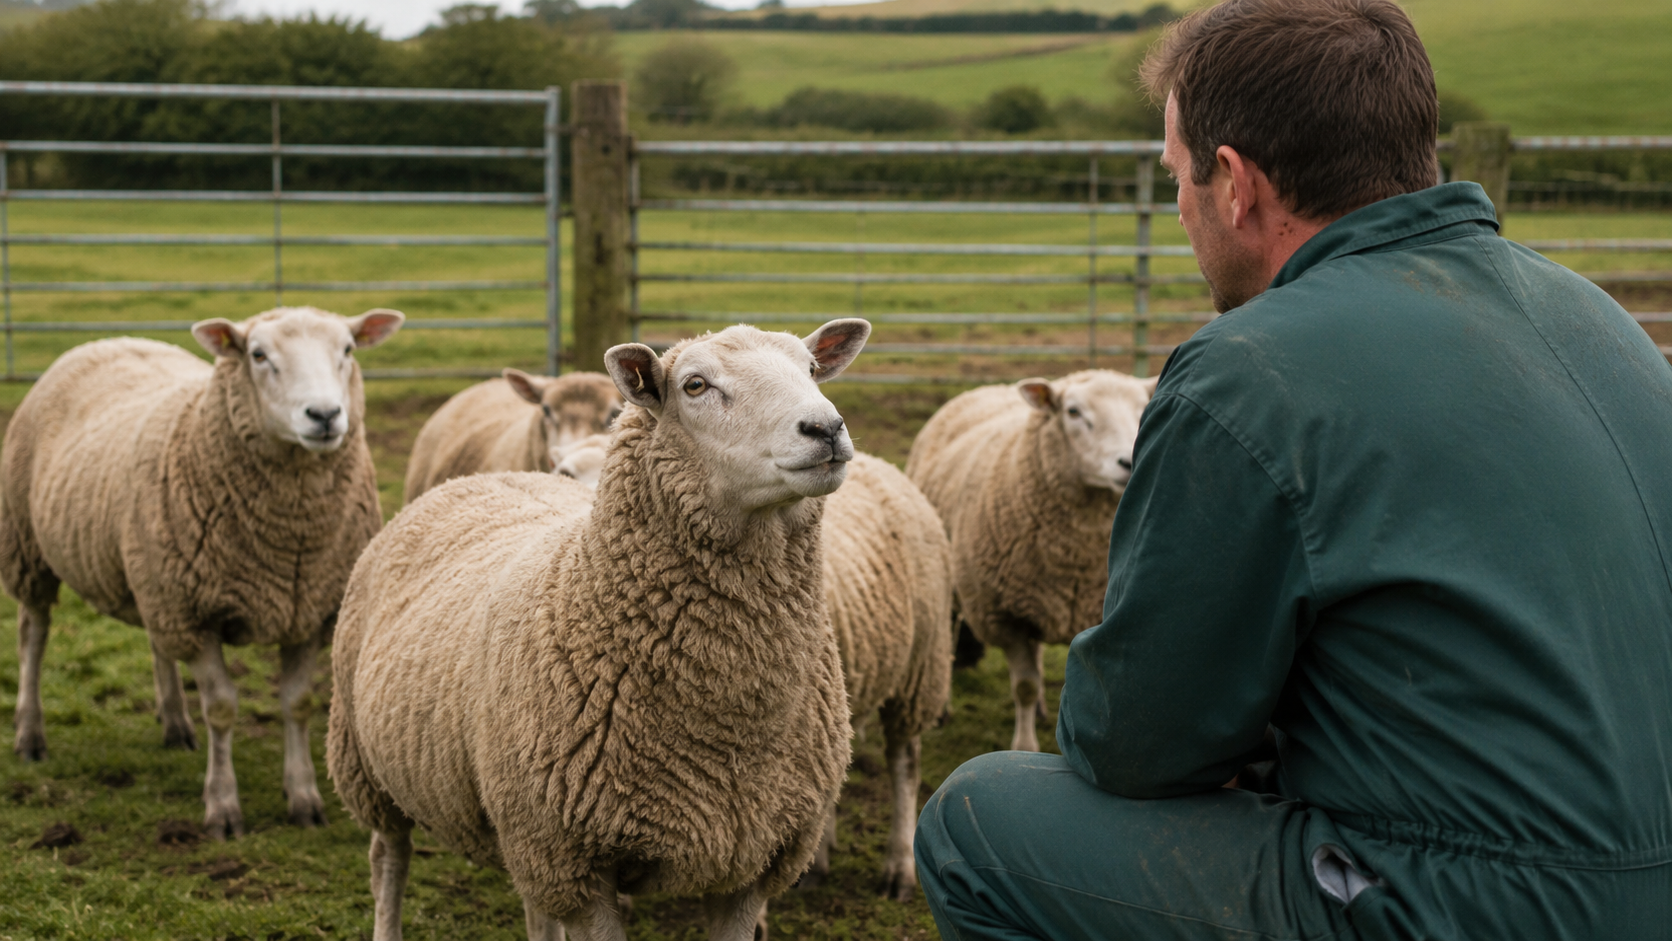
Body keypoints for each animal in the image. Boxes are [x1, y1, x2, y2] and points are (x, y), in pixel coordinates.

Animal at [1, 305, 404, 839]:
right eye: (257, 354)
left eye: (348, 349)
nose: (323, 416)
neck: (288, 540)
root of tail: (111, 339)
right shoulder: (196, 618)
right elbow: (222, 708)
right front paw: (223, 807)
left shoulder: (308, 610)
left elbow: (297, 703)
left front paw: (303, 798)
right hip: (28, 547)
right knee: (33, 634)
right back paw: (30, 735)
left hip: (152, 574)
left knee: (156, 644)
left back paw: (175, 724)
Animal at [906, 369, 1156, 753]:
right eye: (1072, 411)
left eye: (1144, 408)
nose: (1128, 462)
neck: (1076, 556)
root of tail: (990, 388)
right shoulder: (1005, 618)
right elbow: (1024, 685)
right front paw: (1024, 745)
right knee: (945, 638)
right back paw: (943, 708)